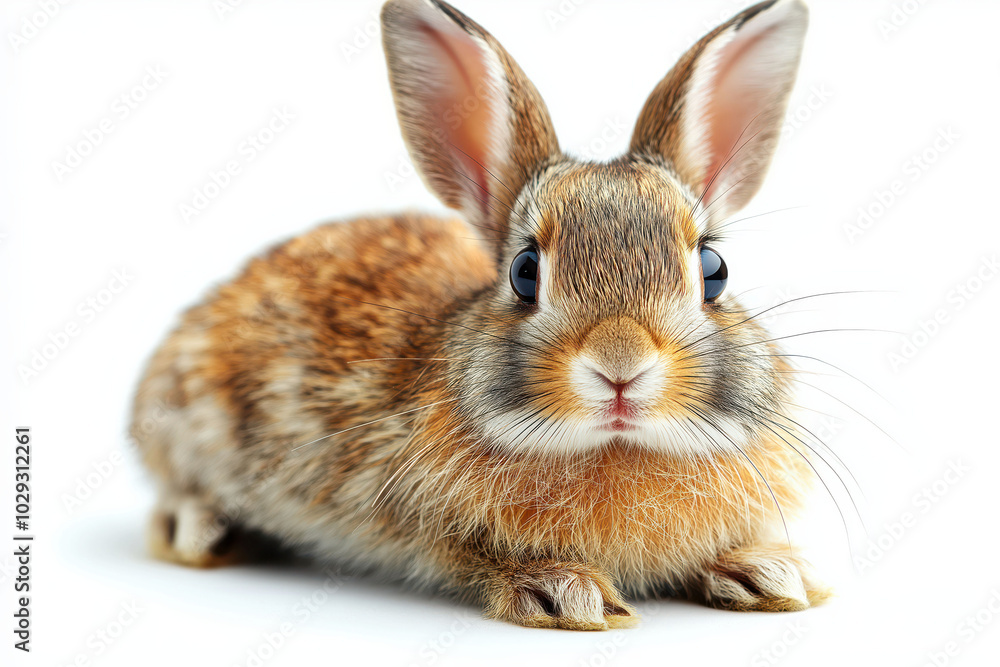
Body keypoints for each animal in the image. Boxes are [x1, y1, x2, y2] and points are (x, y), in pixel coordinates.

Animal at [132, 0, 831, 630]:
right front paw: (566, 592)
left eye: (714, 270)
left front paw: (767, 573)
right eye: (524, 272)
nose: (620, 367)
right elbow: (477, 555)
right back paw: (199, 528)